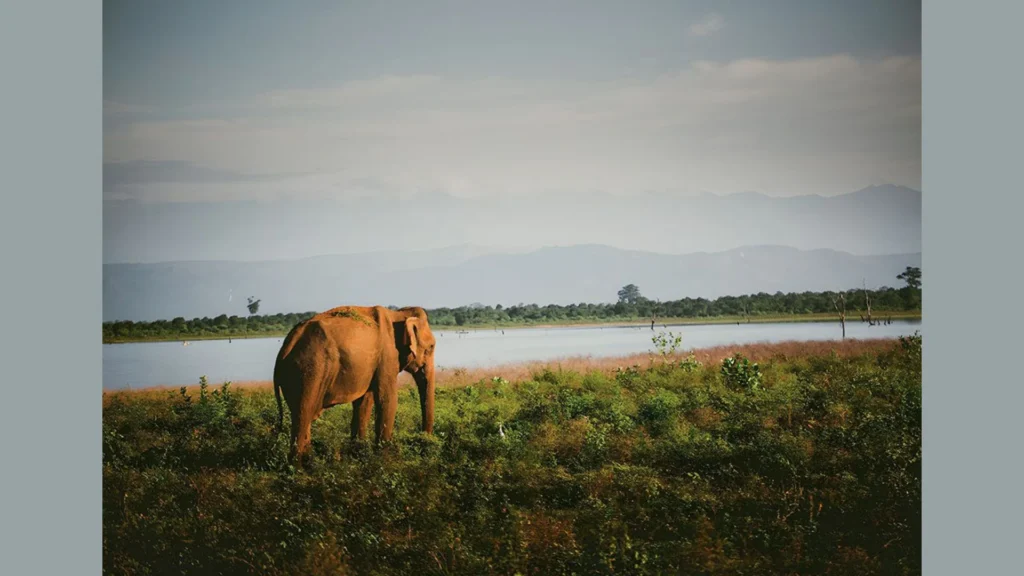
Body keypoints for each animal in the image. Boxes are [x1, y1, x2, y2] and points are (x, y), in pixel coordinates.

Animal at [273, 305, 437, 466]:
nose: (423, 441)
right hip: (310, 371)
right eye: (431, 347)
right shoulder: (388, 356)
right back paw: (299, 468)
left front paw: (359, 455)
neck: (397, 314)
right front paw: (384, 461)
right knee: (303, 415)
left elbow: (364, 402)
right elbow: (387, 399)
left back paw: (309, 463)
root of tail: (286, 347)